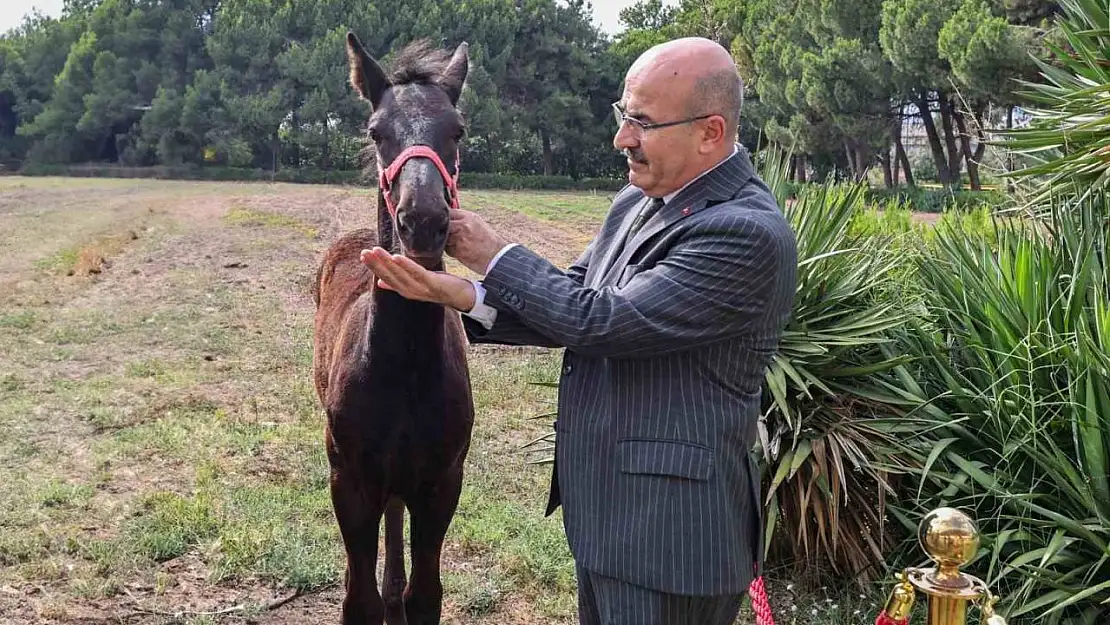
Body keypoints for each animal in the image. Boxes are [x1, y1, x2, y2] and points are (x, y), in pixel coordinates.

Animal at [310, 35, 475, 625]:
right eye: (376, 131)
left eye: (457, 130)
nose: (422, 222)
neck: (401, 365)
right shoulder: (350, 481)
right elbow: (357, 601)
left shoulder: (442, 481)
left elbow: (426, 596)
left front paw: (403, 596)